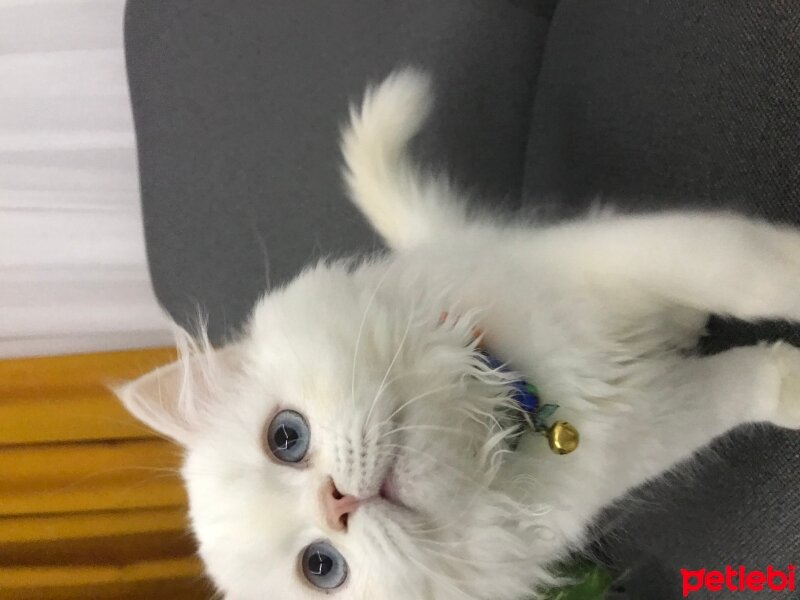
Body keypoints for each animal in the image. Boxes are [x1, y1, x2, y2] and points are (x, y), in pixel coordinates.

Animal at [117, 71, 800, 600]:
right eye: (322, 566)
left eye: (285, 437)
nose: (337, 503)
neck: (515, 412)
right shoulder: (642, 435)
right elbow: (738, 386)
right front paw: (789, 385)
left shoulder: (612, 260)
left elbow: (748, 270)